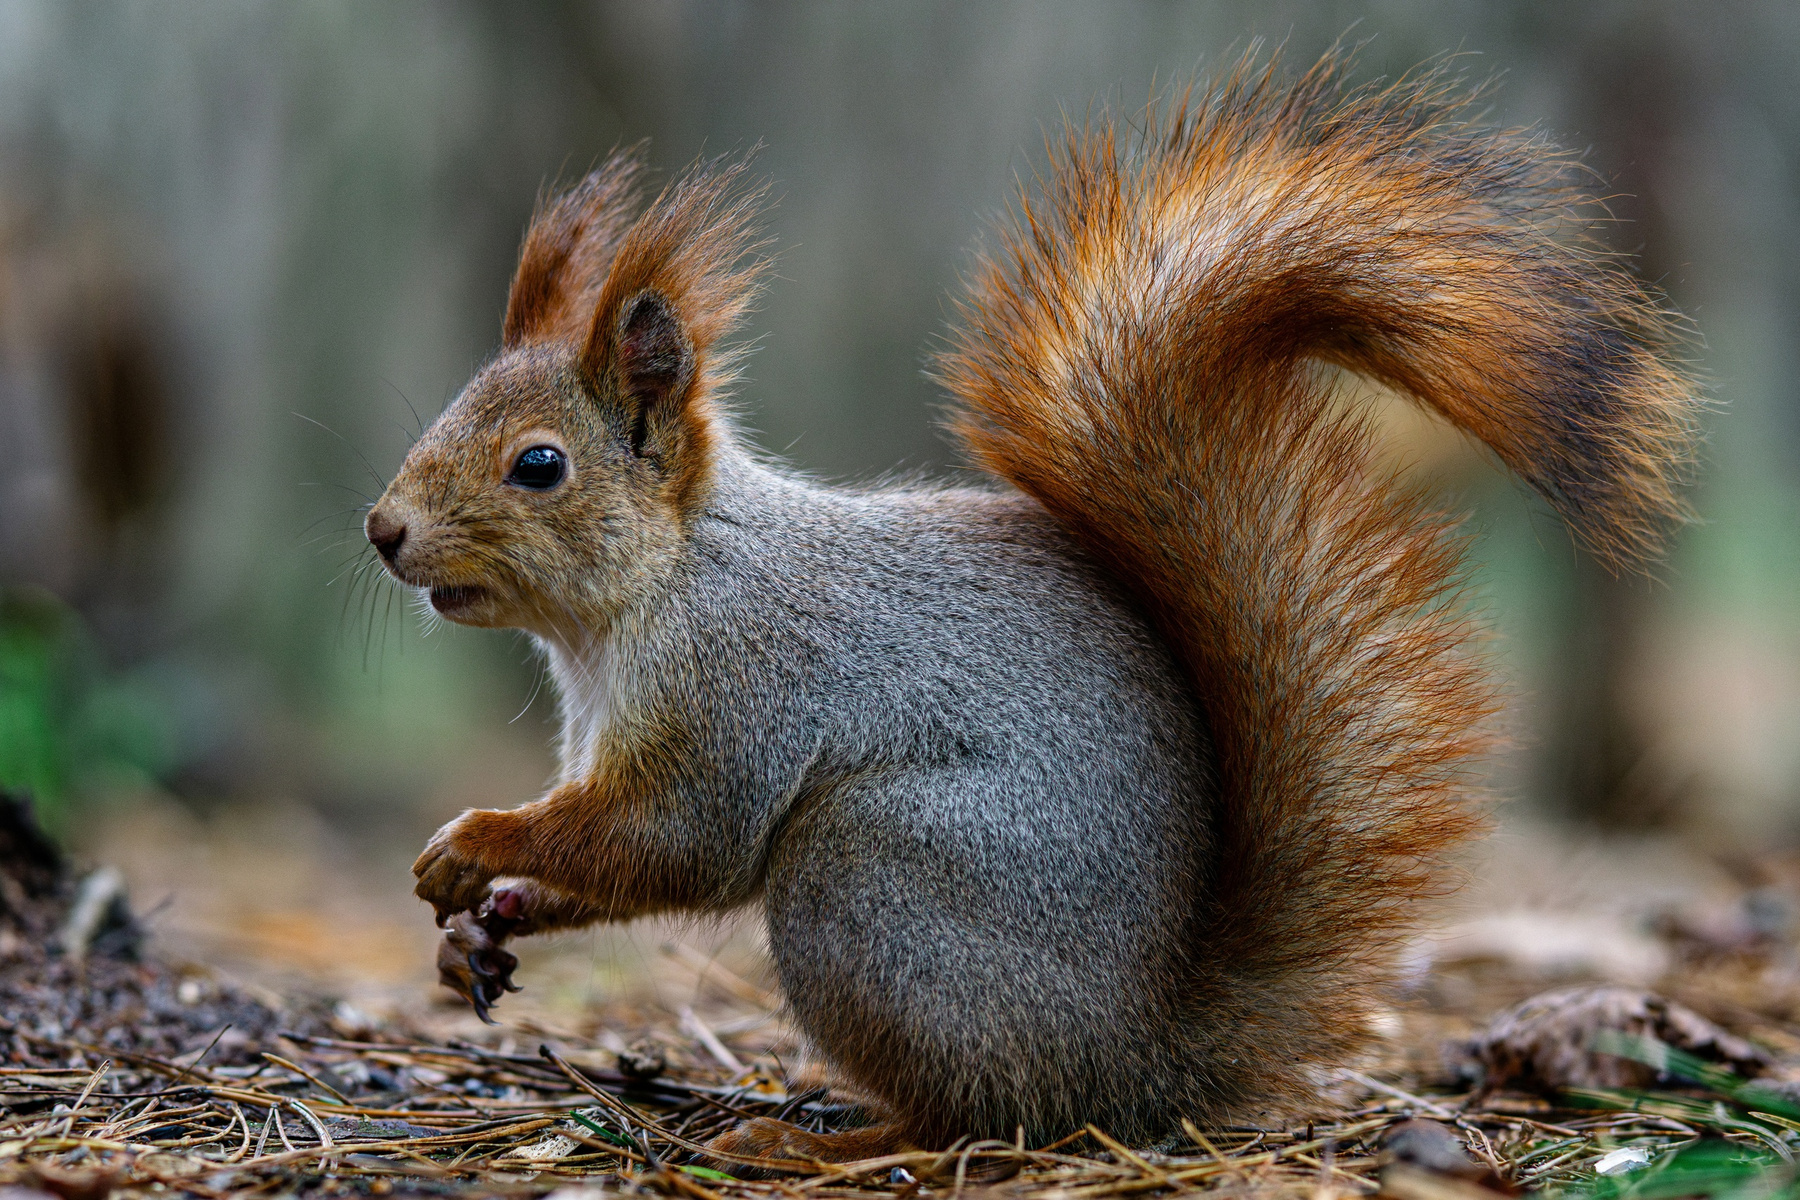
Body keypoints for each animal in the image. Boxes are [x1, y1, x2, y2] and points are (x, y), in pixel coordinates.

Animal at [365, 50, 1700, 1160]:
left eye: (540, 465)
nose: (383, 532)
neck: (646, 598)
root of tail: (1142, 1063)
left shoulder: (738, 687)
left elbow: (673, 839)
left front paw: (477, 842)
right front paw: (485, 924)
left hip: (872, 875)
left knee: (978, 1116)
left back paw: (825, 1138)